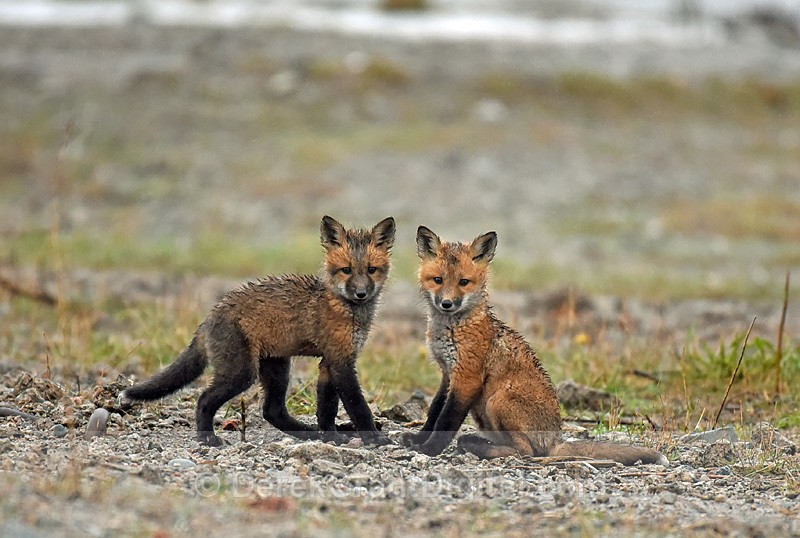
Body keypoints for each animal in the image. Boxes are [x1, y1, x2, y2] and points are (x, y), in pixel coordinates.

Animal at [120, 215, 396, 447]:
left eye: (371, 270)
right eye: (346, 270)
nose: (361, 293)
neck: (344, 309)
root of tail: (209, 318)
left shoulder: (331, 361)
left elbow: (326, 408)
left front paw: (330, 437)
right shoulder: (340, 362)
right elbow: (358, 406)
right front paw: (375, 439)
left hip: (277, 368)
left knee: (272, 411)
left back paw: (307, 432)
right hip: (241, 373)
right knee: (205, 399)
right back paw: (208, 439)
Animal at [402, 225, 668, 466]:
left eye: (464, 282)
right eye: (438, 280)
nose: (447, 304)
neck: (452, 329)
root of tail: (556, 439)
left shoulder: (467, 378)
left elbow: (446, 420)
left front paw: (430, 449)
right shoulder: (447, 374)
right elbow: (434, 412)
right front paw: (419, 440)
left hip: (496, 400)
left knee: (525, 451)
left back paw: (479, 448)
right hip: (482, 413)